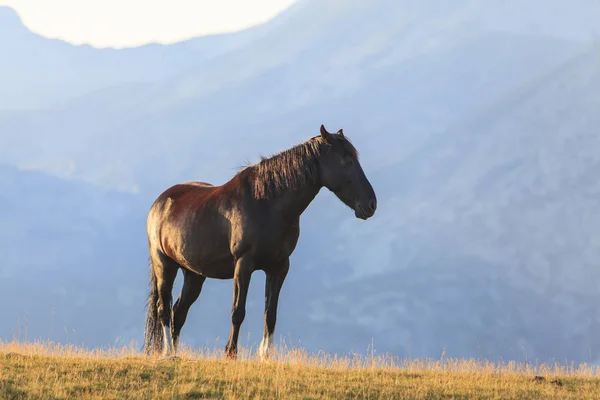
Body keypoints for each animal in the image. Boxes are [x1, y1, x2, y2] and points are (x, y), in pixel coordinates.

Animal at [143, 125, 376, 360]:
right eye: (347, 161)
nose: (371, 204)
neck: (267, 204)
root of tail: (159, 203)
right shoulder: (243, 264)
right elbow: (238, 311)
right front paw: (231, 353)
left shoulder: (279, 266)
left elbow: (270, 313)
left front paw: (266, 355)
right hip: (165, 265)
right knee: (164, 309)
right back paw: (167, 352)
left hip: (194, 274)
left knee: (179, 312)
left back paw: (175, 352)